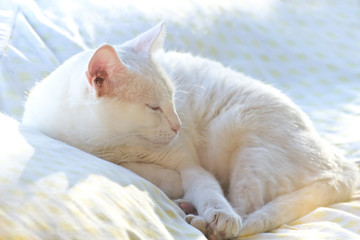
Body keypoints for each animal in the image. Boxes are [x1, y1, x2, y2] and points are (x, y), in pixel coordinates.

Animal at [22, 23, 358, 240]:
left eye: (173, 99)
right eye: (153, 107)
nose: (177, 124)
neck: (106, 145)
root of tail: (342, 166)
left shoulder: (191, 165)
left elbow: (209, 191)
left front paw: (217, 215)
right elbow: (138, 169)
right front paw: (165, 181)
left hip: (243, 137)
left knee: (245, 215)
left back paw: (208, 222)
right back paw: (187, 207)